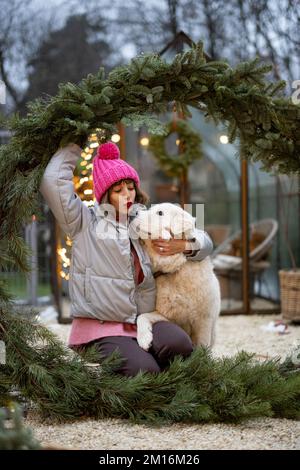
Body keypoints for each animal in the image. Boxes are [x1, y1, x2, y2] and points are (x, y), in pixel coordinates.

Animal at [130, 204, 221, 350]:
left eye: (160, 213)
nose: (134, 213)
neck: (176, 269)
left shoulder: (203, 320)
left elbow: (202, 347)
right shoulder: (168, 316)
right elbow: (142, 317)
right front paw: (144, 339)